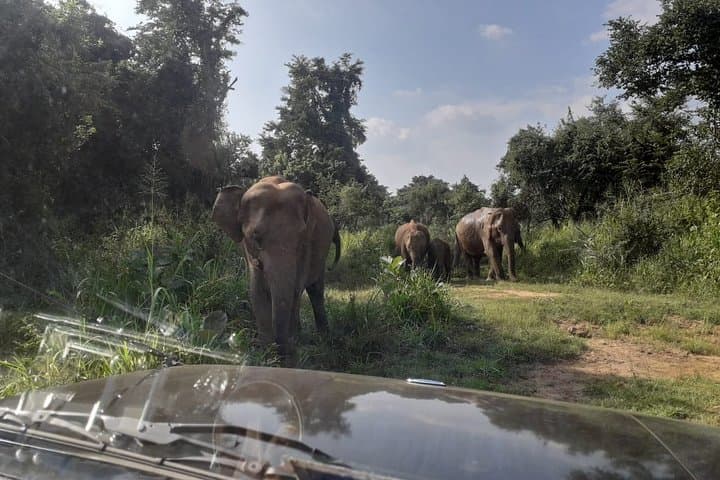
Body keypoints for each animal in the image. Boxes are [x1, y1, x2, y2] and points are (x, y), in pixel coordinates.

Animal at [211, 176, 341, 361]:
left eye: (301, 238)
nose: (283, 353)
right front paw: (267, 353)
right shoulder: (247, 250)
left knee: (315, 290)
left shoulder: (307, 247)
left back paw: (322, 338)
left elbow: (295, 290)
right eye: (255, 237)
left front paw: (289, 350)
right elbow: (256, 291)